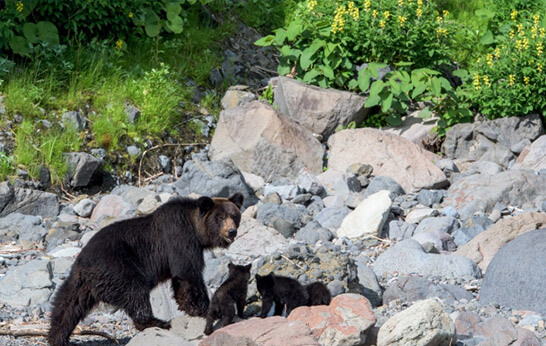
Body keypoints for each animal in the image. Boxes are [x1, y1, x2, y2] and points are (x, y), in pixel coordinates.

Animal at [46, 192, 242, 346]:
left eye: (234, 215)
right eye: (220, 217)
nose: (231, 232)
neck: (196, 229)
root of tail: (84, 264)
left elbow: (180, 280)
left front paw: (189, 307)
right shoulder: (179, 237)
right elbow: (188, 272)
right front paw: (202, 307)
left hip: (80, 283)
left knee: (65, 305)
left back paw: (57, 336)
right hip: (118, 268)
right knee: (135, 292)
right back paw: (156, 322)